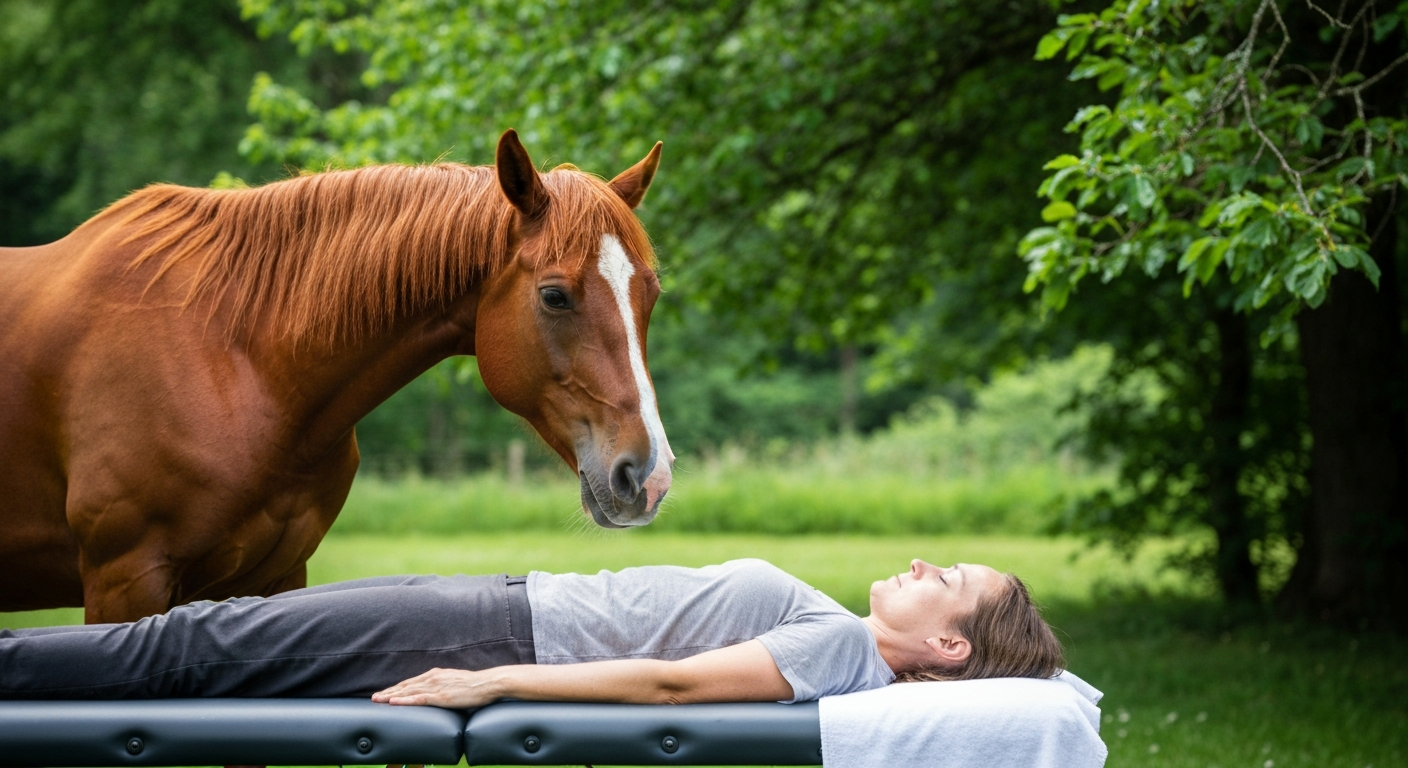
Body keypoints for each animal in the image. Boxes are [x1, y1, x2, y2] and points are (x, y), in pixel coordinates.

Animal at [0, 130, 675, 624]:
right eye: (555, 296)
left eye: (651, 294)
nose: (649, 476)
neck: (234, 362)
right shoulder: (126, 581)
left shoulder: (272, 578)